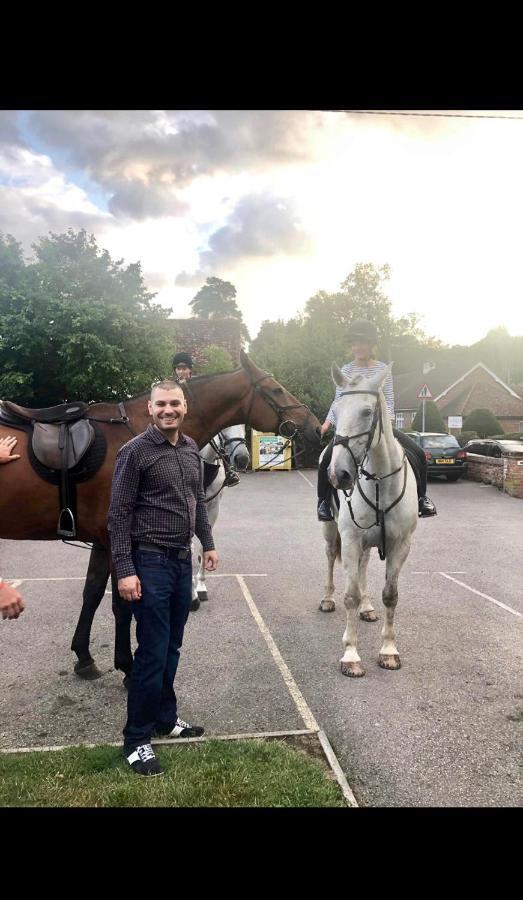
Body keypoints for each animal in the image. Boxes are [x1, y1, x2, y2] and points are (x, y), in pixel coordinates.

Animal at [320, 362, 418, 680]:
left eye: (366, 412)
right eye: (337, 410)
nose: (338, 474)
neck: (379, 483)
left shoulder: (401, 545)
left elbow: (391, 595)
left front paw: (388, 651)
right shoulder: (350, 539)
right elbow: (349, 595)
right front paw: (350, 655)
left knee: (363, 568)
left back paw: (366, 607)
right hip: (331, 531)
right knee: (330, 558)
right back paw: (328, 599)